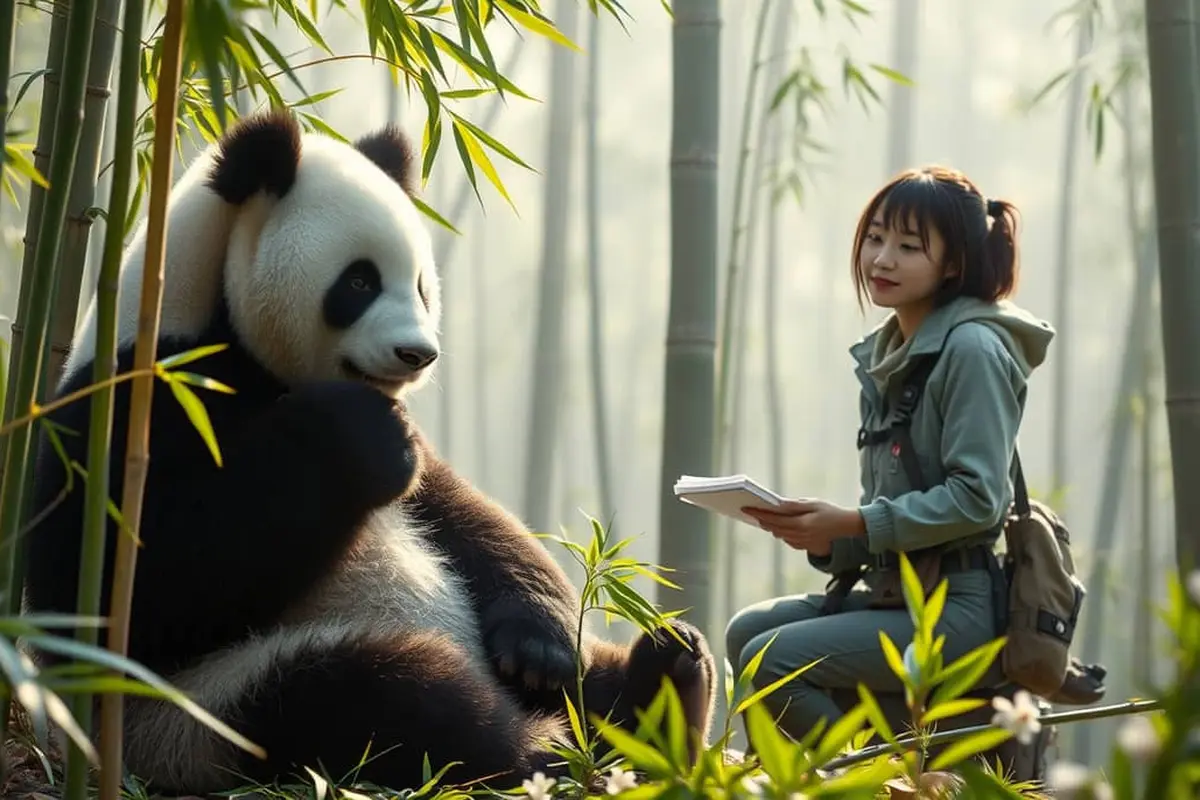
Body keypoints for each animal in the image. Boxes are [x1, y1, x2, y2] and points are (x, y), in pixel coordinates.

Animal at [24, 108, 716, 796]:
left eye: (422, 286)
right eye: (359, 280)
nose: (419, 354)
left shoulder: (423, 457)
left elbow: (469, 517)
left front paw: (540, 647)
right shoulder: (138, 398)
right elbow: (129, 588)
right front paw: (357, 436)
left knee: (597, 670)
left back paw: (664, 681)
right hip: (208, 712)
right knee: (382, 697)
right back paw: (546, 752)